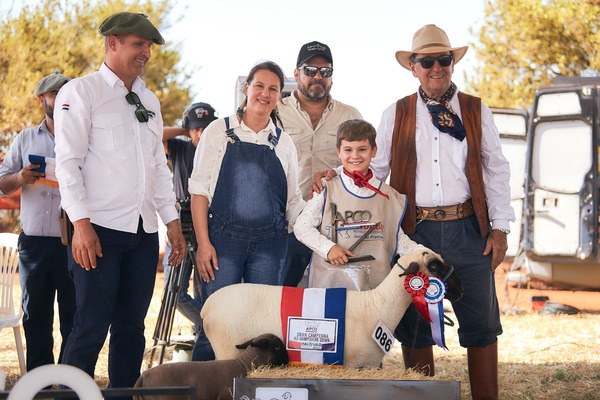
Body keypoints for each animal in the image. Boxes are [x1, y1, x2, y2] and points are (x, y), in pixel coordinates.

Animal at [200, 250, 460, 368]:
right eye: (434, 265)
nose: (461, 289)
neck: (379, 305)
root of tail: (207, 306)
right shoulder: (356, 365)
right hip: (227, 349)